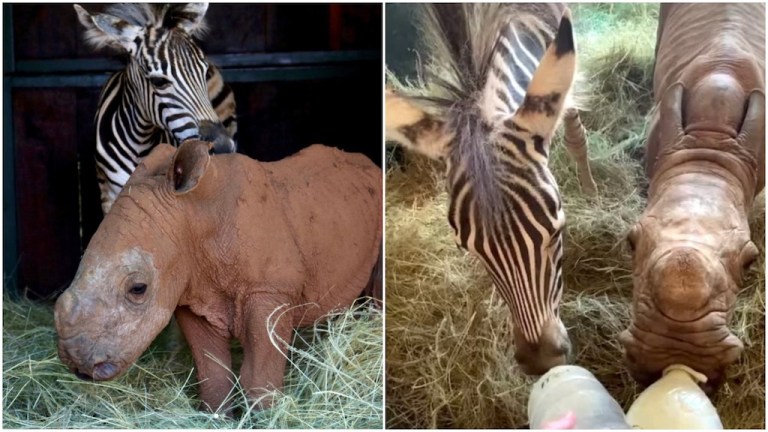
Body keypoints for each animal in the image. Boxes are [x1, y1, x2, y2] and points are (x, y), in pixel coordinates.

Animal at [52, 141, 382, 412]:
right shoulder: (193, 293)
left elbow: (259, 375)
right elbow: (212, 371)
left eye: (138, 288)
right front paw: (217, 416)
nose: (76, 363)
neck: (195, 218)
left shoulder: (268, 289)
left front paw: (266, 416)